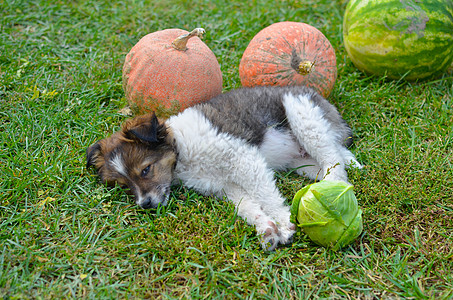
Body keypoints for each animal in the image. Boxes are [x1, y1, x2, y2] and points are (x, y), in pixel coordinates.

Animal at [85, 85, 360, 251]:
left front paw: (283, 223)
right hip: (302, 163)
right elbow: (247, 207)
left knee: (333, 161)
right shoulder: (226, 186)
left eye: (145, 170)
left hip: (303, 115)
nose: (145, 205)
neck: (183, 153)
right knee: (334, 158)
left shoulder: (244, 159)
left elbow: (265, 195)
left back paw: (334, 191)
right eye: (125, 186)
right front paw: (267, 229)